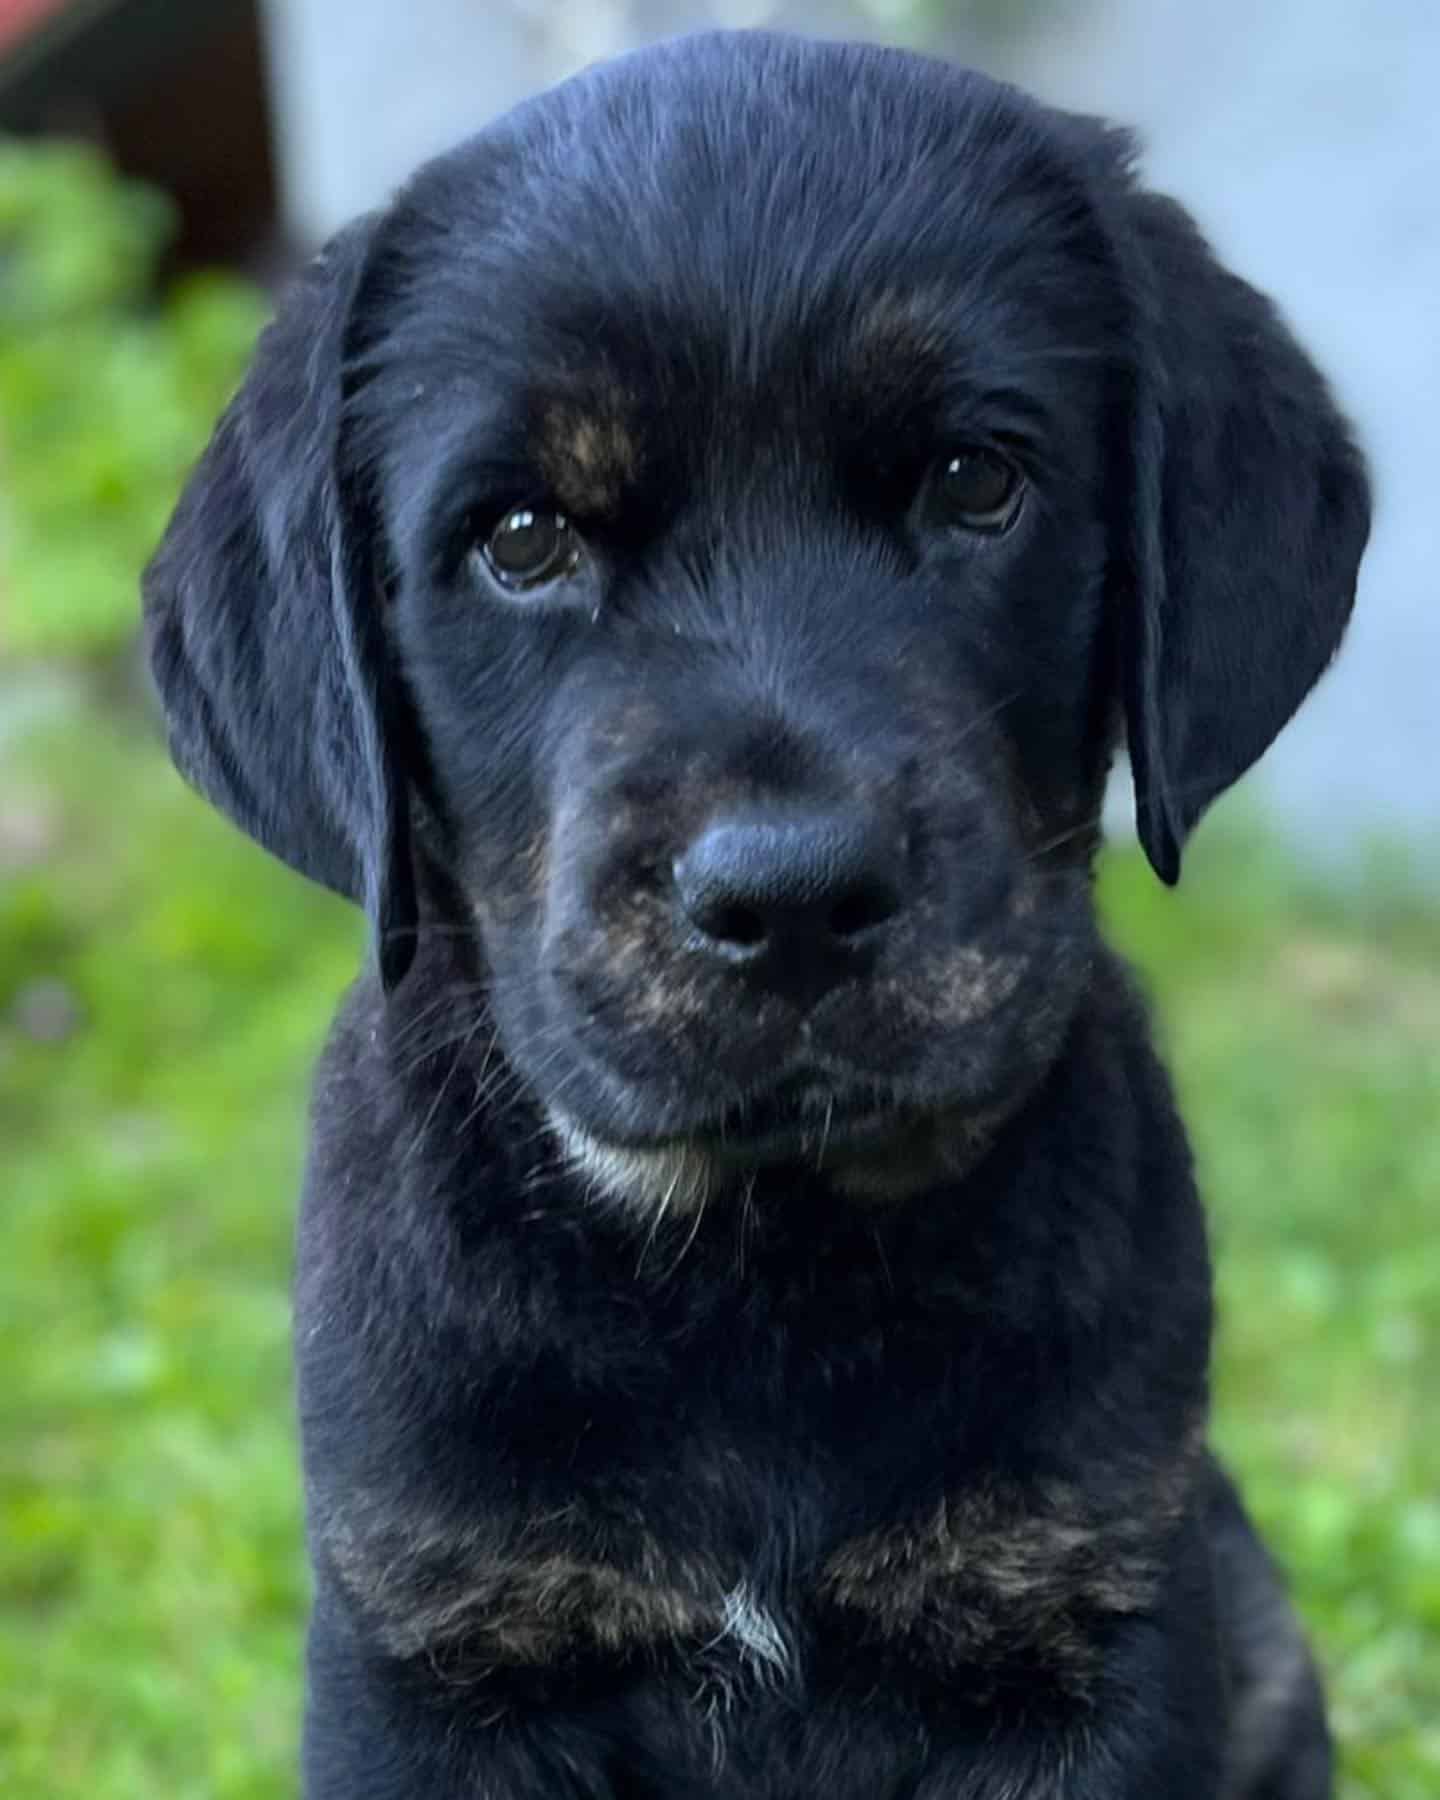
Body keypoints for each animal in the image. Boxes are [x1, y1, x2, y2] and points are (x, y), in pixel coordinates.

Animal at [145, 31, 1375, 1800]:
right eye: (522, 537)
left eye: (975, 480)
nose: (791, 898)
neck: (760, 1261)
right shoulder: (434, 1647)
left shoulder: (1090, 1614)